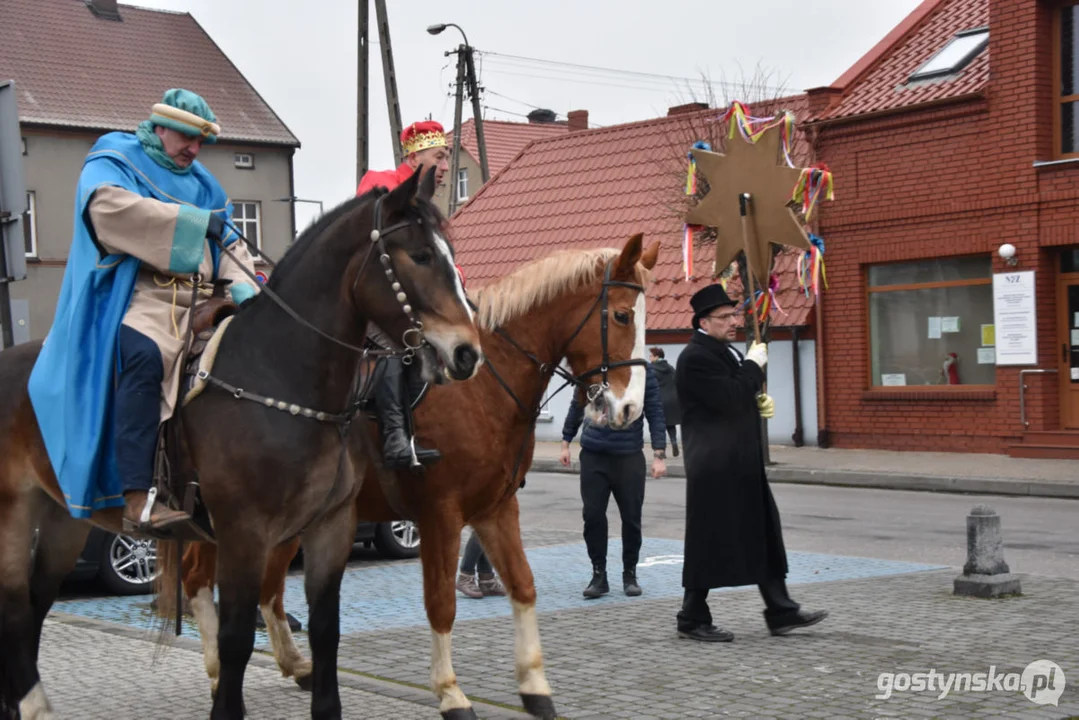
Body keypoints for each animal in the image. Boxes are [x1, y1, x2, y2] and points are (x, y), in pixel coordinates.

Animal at [0, 170, 483, 720]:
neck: (279, 377)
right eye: (420, 255)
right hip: (15, 512)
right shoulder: (243, 534)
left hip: (66, 517)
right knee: (14, 607)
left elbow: (326, 630)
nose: (467, 353)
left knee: (35, 603)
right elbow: (235, 638)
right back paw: (33, 704)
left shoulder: (330, 526)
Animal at [176, 236, 656, 720]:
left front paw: (535, 687)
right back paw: (218, 673)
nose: (630, 409)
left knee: (267, 590)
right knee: (198, 579)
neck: (481, 386)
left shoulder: (496, 508)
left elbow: (523, 586)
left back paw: (296, 666)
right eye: (622, 315)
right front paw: (450, 692)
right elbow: (441, 603)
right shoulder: (440, 513)